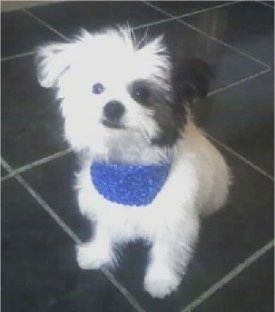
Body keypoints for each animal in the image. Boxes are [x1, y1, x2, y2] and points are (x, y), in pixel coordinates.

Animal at [36, 25, 231, 298]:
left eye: (141, 93)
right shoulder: (105, 201)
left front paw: (160, 280)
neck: (128, 168)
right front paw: (98, 253)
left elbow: (166, 249)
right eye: (97, 88)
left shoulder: (174, 216)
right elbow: (104, 228)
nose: (112, 107)